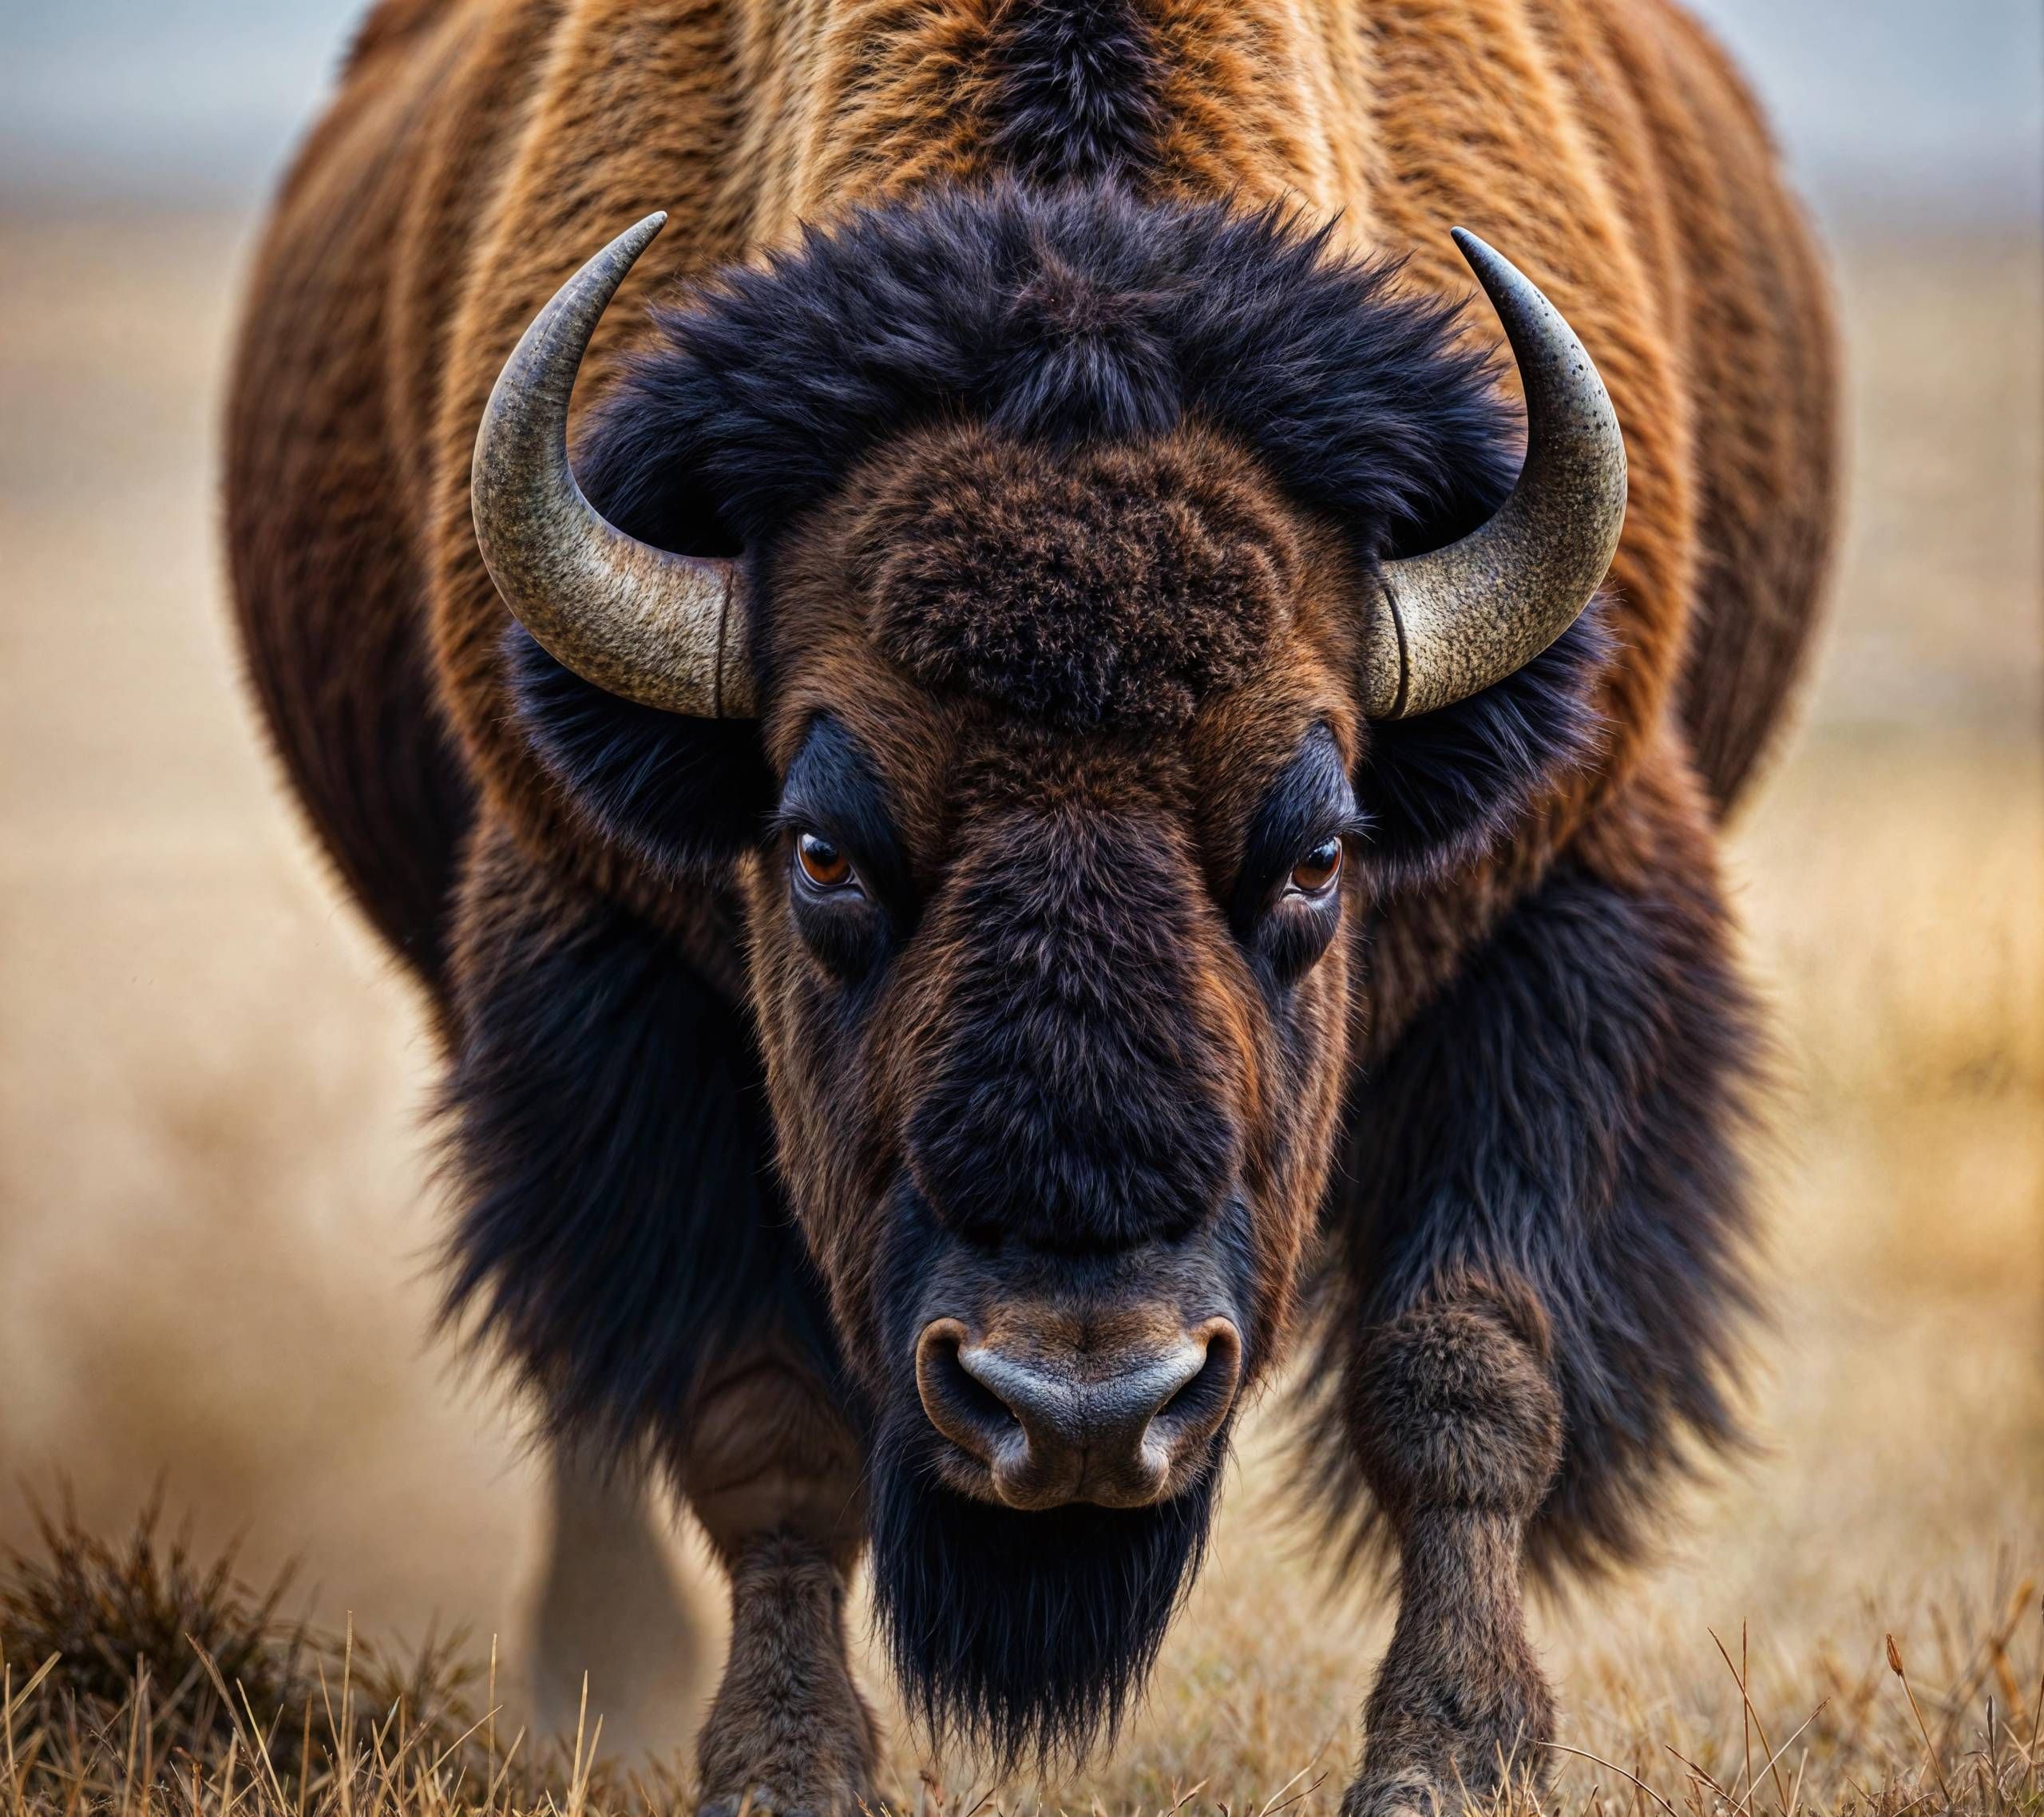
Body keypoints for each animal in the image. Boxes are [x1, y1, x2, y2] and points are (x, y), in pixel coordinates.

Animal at [226, 0, 1838, 1809]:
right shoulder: (606, 976)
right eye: (818, 848)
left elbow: (1468, 1371)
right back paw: (603, 1678)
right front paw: (782, 1764)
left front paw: (1452, 1756)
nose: (1080, 1409)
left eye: (1319, 852)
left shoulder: (1562, 916)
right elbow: (757, 1418)